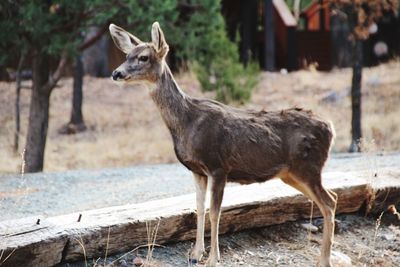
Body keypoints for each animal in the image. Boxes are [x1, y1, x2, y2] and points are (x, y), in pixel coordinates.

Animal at [108, 22, 338, 266]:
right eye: (127, 55)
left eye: (143, 57)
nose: (116, 73)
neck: (186, 122)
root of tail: (331, 128)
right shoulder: (197, 170)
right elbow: (199, 209)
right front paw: (195, 254)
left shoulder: (218, 166)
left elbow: (215, 212)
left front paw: (212, 258)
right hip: (291, 174)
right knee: (332, 198)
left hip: (308, 167)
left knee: (329, 202)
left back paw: (325, 260)